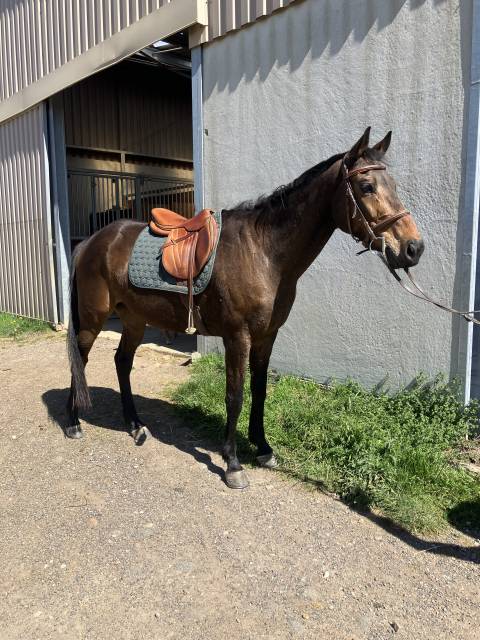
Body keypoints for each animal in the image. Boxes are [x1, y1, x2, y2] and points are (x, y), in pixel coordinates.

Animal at [66, 127, 424, 489]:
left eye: (393, 185)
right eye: (366, 187)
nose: (413, 248)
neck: (264, 253)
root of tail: (91, 242)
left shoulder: (267, 337)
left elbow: (260, 390)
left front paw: (262, 447)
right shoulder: (237, 337)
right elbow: (234, 396)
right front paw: (233, 463)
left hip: (134, 320)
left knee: (122, 362)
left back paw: (135, 425)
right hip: (93, 320)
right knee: (79, 360)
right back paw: (73, 422)